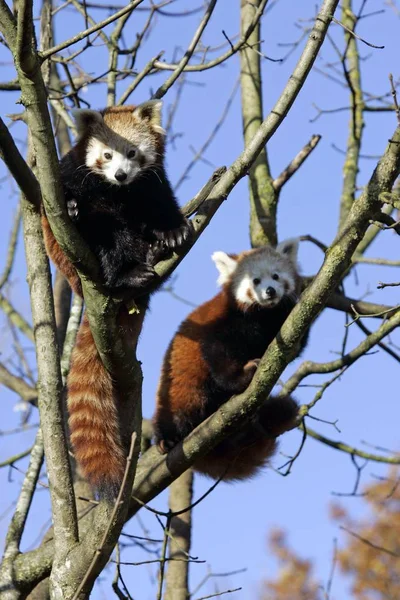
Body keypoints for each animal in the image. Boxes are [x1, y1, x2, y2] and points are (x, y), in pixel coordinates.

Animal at [43, 102, 193, 496]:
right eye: (107, 155)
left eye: (132, 152)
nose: (122, 175)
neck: (118, 190)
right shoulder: (69, 174)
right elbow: (75, 200)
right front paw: (73, 205)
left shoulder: (152, 184)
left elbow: (162, 206)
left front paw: (172, 231)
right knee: (106, 229)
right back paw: (127, 271)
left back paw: (155, 250)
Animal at [152, 241, 306, 480]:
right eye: (255, 280)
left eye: (276, 276)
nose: (270, 291)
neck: (262, 315)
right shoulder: (221, 325)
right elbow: (218, 355)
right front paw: (243, 375)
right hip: (180, 390)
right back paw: (166, 438)